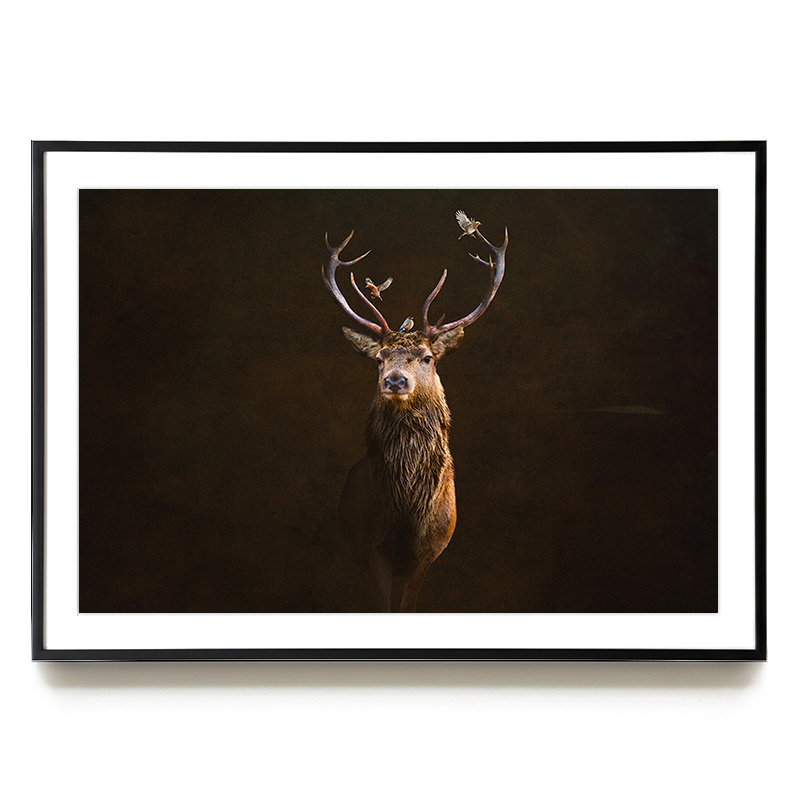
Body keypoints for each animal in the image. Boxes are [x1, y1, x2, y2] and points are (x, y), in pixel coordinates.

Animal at [323, 224, 507, 612]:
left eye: (427, 357)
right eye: (379, 359)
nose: (395, 380)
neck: (408, 511)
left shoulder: (431, 550)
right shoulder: (372, 547)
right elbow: (380, 604)